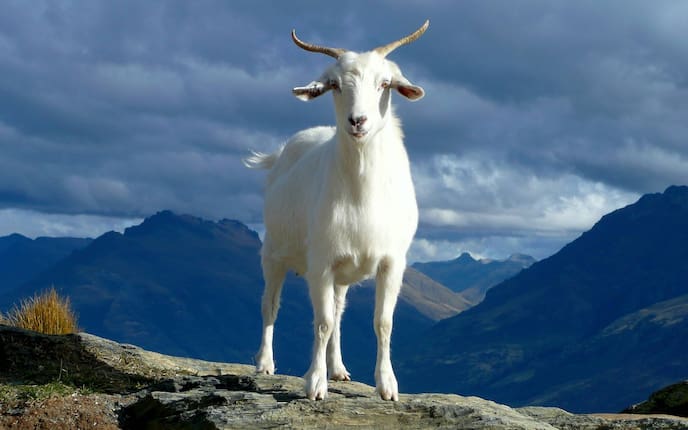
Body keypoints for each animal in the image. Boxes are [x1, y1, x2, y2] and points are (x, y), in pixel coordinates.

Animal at [244, 20, 428, 401]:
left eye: (384, 84)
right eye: (335, 85)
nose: (358, 121)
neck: (362, 193)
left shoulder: (392, 262)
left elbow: (382, 322)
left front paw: (387, 386)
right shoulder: (321, 264)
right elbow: (322, 322)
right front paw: (315, 383)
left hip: (343, 272)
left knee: (340, 313)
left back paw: (339, 369)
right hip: (273, 254)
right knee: (270, 304)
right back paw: (265, 363)